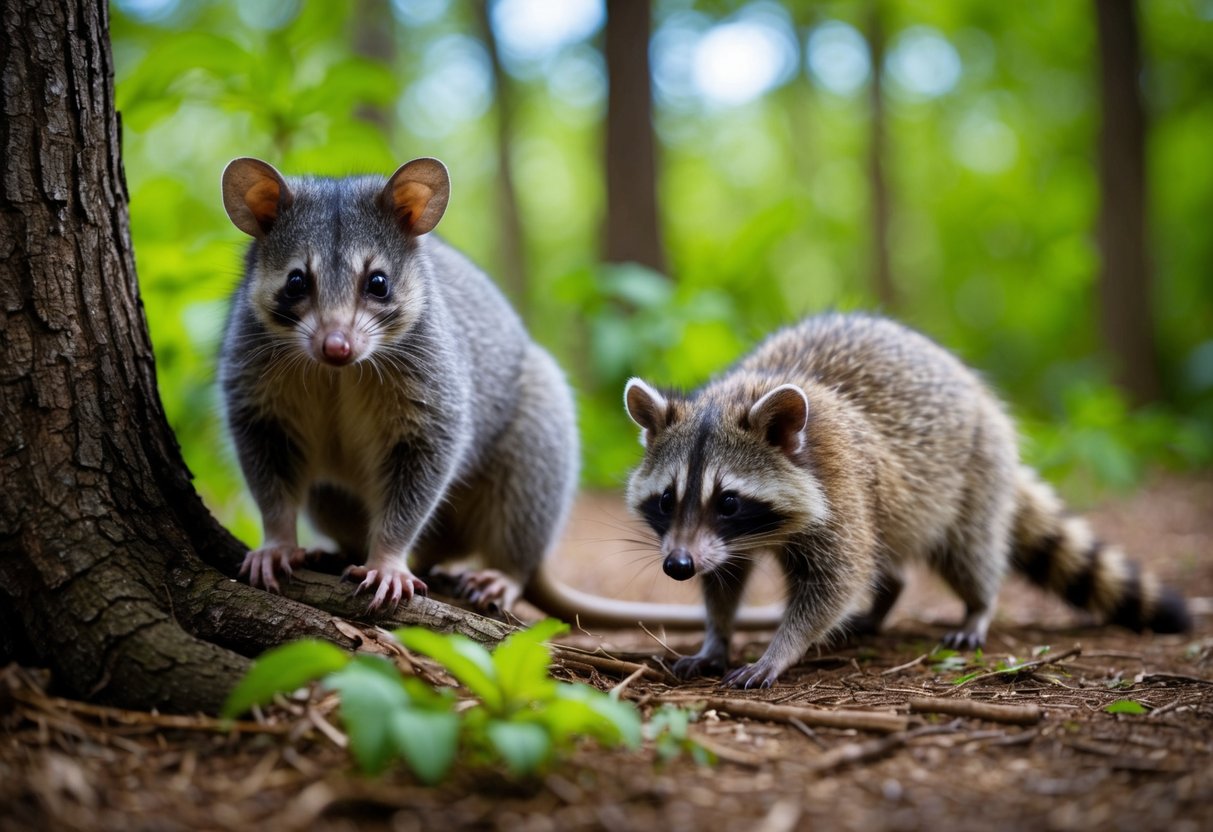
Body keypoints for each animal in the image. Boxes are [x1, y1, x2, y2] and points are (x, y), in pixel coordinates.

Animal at [624, 313, 1191, 688]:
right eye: (667, 499)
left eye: (728, 502)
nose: (677, 566)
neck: (730, 397)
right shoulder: (723, 541)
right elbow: (723, 579)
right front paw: (716, 637)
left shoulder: (842, 486)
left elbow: (836, 580)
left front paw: (782, 647)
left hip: (973, 470)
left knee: (968, 550)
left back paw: (978, 606)